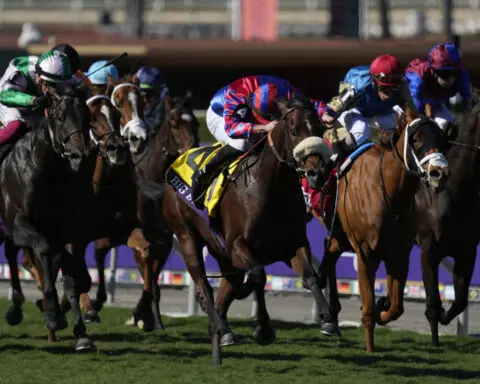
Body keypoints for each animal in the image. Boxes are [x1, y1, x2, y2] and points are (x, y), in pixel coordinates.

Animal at [0, 91, 95, 352]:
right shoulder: (20, 223)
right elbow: (43, 250)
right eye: (61, 117)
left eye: (88, 117)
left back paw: (16, 309)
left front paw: (81, 332)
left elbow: (71, 277)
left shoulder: (66, 230)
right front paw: (53, 315)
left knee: (11, 252)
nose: (81, 154)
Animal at [163, 97, 336, 366]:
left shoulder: (293, 244)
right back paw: (222, 327)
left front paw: (328, 318)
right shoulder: (238, 245)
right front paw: (263, 329)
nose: (316, 174)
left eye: (319, 129)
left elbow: (311, 276)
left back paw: (222, 333)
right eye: (294, 130)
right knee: (203, 283)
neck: (272, 189)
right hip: (186, 236)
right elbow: (258, 275)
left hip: (220, 250)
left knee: (228, 286)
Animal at [316, 107, 452, 352]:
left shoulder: (399, 253)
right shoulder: (365, 252)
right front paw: (370, 348)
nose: (439, 173)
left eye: (442, 139)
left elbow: (397, 306)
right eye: (416, 139)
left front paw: (382, 308)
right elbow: (368, 306)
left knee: (331, 249)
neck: (388, 191)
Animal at [412, 101, 480, 344]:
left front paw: (445, 315)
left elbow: (460, 301)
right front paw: (434, 342)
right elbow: (432, 303)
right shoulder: (428, 250)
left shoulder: (467, 251)